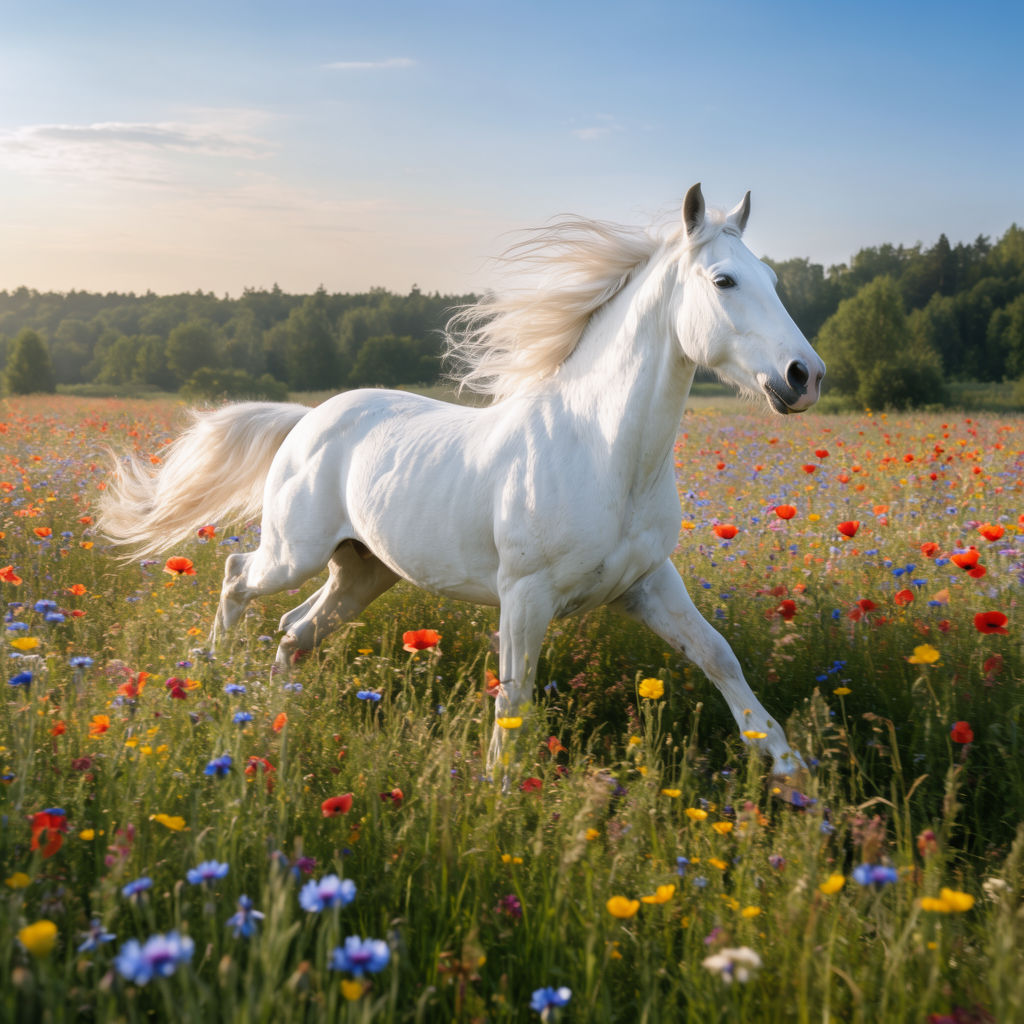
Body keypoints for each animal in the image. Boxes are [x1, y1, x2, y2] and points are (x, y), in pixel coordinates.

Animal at [99, 183, 826, 777]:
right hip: (293, 552)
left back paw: (277, 710)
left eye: (773, 277)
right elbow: (516, 697)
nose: (805, 376)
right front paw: (500, 793)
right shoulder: (526, 595)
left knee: (295, 629)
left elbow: (719, 657)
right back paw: (213, 677)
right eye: (725, 280)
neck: (604, 453)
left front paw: (792, 774)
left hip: (363, 569)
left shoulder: (647, 583)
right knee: (236, 577)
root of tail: (308, 419)